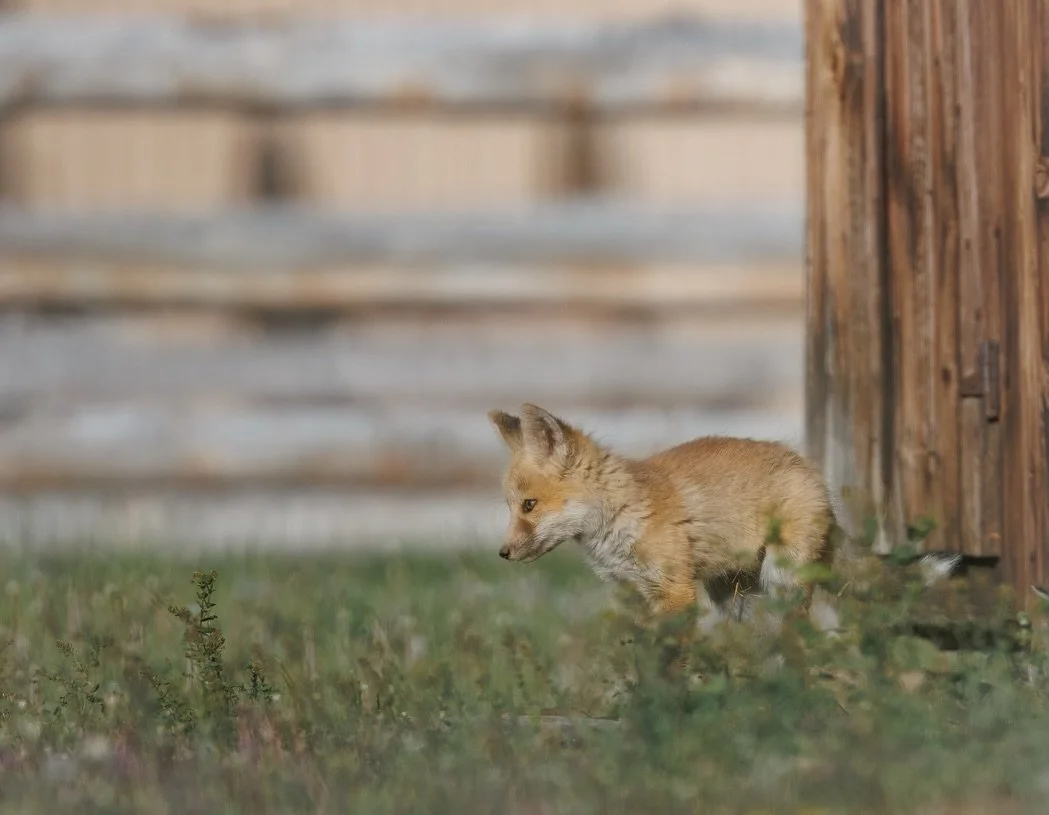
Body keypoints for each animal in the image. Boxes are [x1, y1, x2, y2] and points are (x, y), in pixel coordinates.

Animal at [487, 403, 838, 620]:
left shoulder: (676, 593)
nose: (503, 553)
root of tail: (803, 462)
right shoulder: (636, 595)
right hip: (736, 598)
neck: (624, 513)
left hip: (781, 581)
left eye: (529, 505)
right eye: (510, 507)